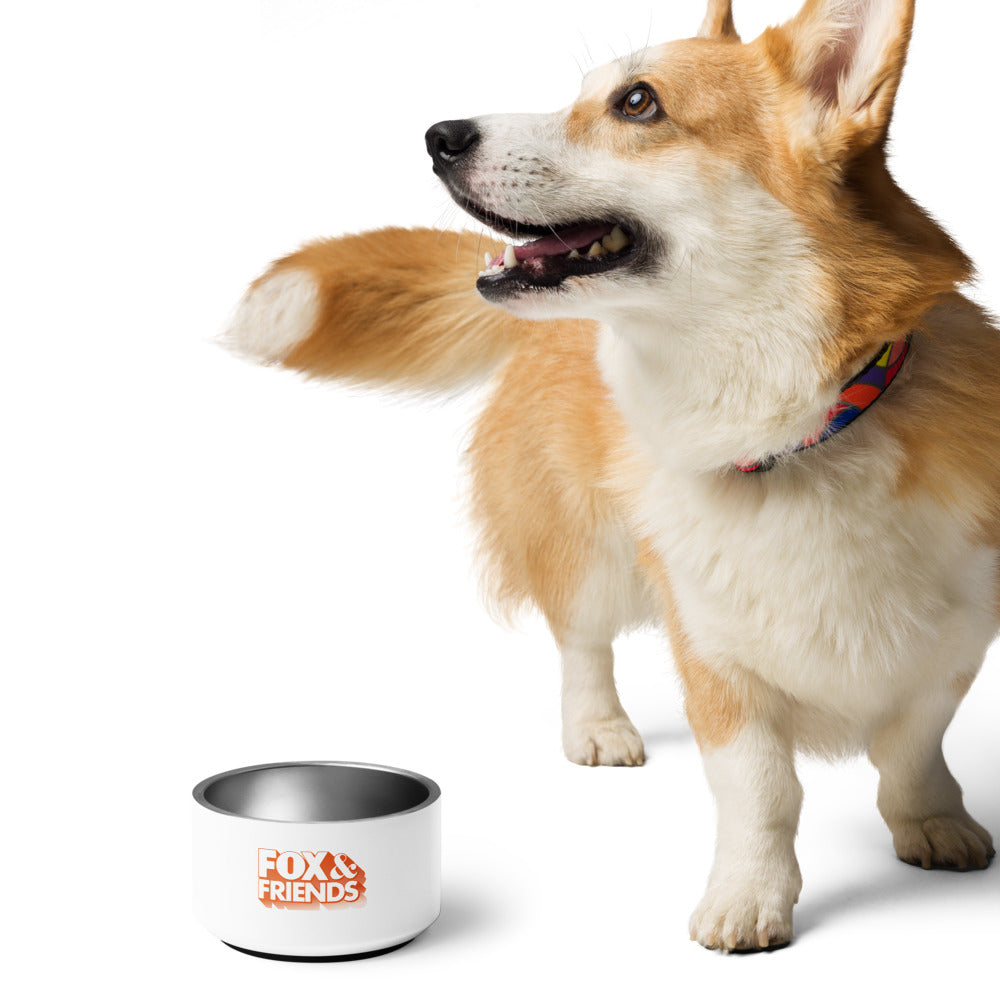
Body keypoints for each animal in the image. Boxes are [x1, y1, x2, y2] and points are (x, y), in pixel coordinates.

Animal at [225, 0, 997, 950]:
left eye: (637, 102)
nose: (438, 136)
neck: (807, 432)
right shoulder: (713, 653)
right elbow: (762, 790)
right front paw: (748, 898)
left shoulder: (955, 643)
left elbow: (912, 746)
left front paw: (932, 822)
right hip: (590, 554)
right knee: (581, 641)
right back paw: (598, 728)